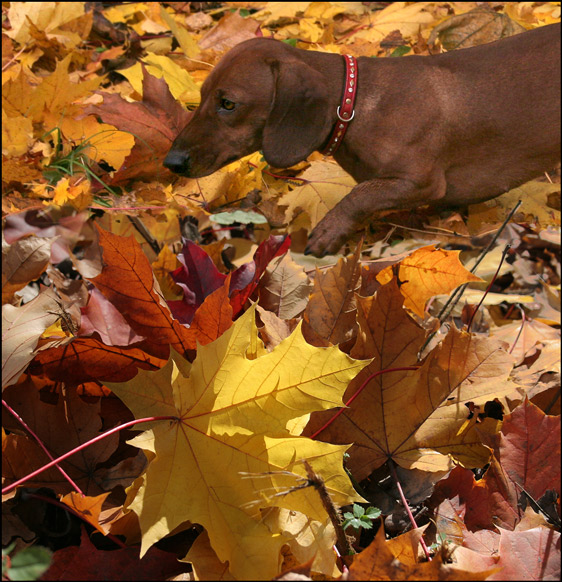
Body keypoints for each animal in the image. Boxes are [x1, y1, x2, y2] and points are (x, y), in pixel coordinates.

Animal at [164, 24, 556, 258]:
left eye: (228, 103)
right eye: (203, 94)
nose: (171, 162)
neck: (356, 102)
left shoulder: (422, 181)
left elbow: (360, 195)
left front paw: (329, 230)